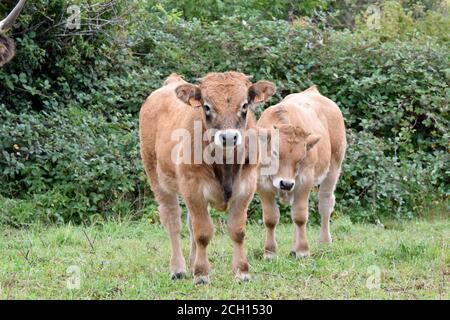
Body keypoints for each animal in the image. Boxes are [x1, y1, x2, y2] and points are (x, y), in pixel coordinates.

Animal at [139, 72, 276, 282]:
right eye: (207, 106)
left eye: (245, 105)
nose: (229, 137)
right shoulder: (193, 188)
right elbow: (203, 233)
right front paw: (202, 274)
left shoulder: (246, 187)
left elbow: (237, 231)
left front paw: (242, 271)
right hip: (157, 178)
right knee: (173, 221)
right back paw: (178, 269)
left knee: (189, 223)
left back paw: (192, 261)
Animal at [255, 86, 346, 258]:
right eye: (275, 153)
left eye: (302, 156)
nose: (285, 183)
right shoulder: (261, 182)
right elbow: (271, 218)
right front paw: (270, 253)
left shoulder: (305, 180)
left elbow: (300, 216)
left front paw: (303, 250)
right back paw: (293, 248)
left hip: (334, 167)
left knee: (325, 203)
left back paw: (324, 241)